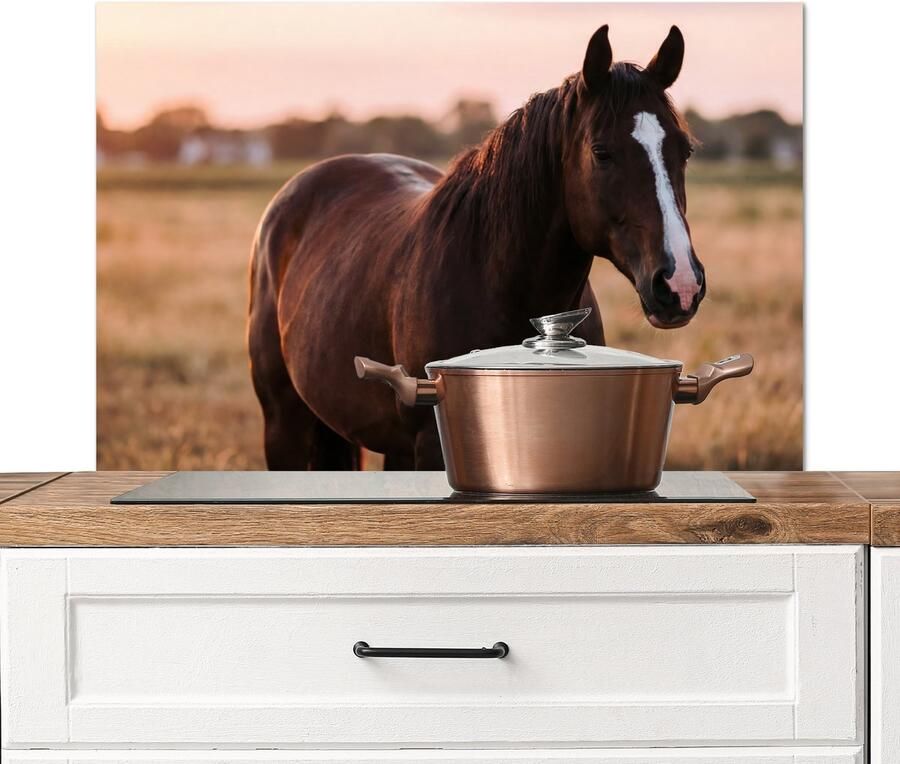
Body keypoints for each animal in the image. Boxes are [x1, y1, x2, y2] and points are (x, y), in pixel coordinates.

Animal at [248, 24, 706, 470]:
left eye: (684, 150)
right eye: (602, 152)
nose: (680, 284)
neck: (494, 282)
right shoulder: (431, 444)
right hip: (284, 426)